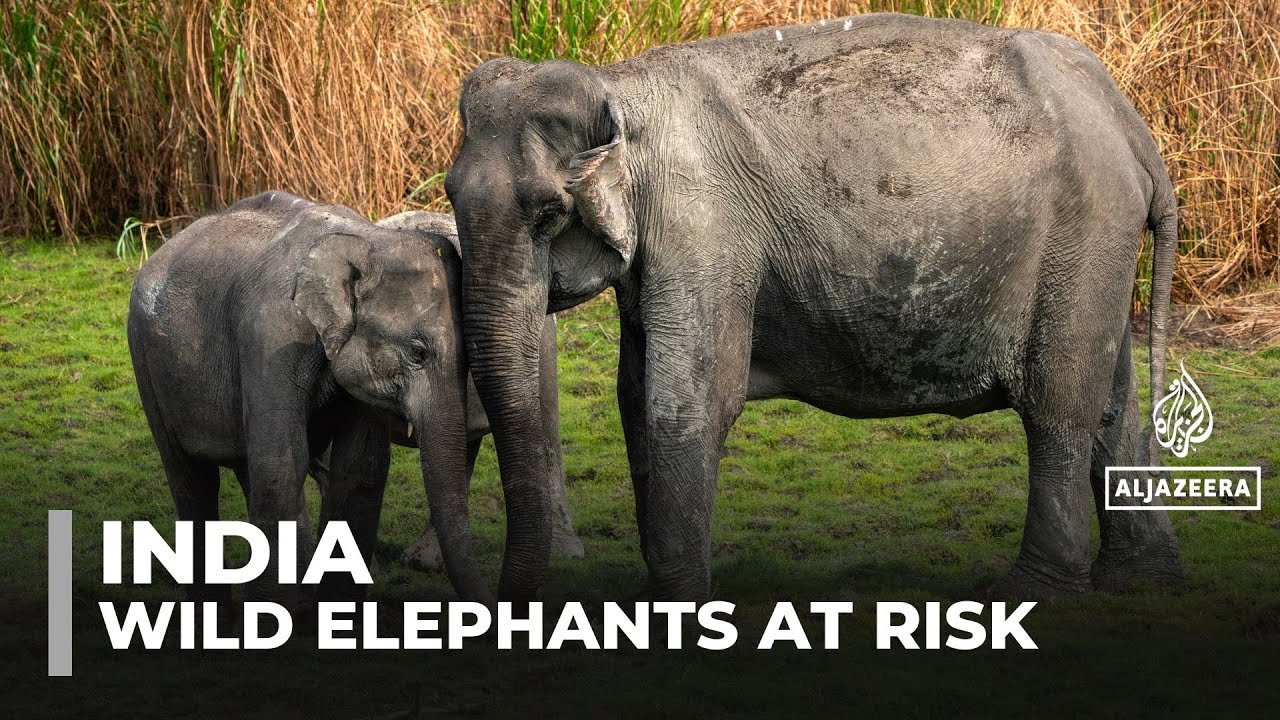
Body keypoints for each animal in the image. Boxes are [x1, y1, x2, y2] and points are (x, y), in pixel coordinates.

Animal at [127, 191, 581, 605]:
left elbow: (362, 465)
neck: (366, 240)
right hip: (145, 357)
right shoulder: (270, 337)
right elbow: (282, 461)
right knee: (193, 480)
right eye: (418, 352)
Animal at [444, 13, 1183, 601]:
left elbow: (687, 401)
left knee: (1058, 406)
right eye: (449, 194)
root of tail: (1133, 128)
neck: (617, 88)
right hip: (1097, 250)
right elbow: (634, 395)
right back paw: (1137, 583)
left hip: (1084, 231)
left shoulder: (702, 228)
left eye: (549, 213)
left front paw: (676, 606)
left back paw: (1031, 592)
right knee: (1111, 401)